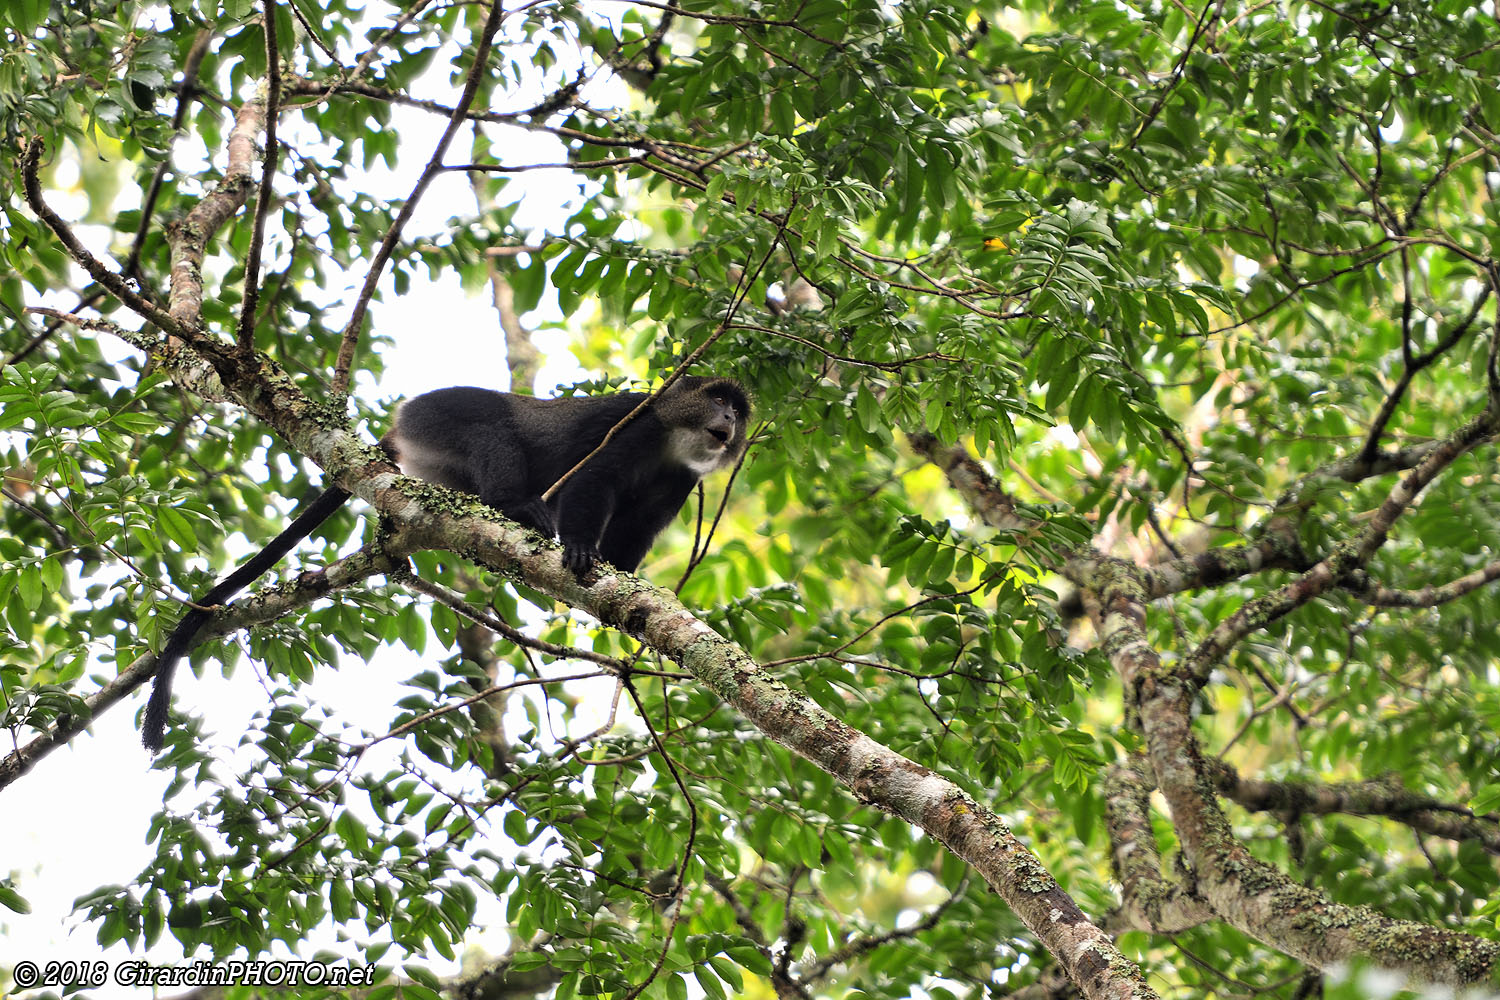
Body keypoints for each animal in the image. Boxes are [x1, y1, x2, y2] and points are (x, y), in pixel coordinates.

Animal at [140, 376, 750, 753]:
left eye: (738, 412)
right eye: (717, 399)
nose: (728, 419)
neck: (671, 443)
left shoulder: (678, 482)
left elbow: (633, 535)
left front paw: (622, 580)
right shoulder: (633, 425)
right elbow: (590, 479)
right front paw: (579, 548)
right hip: (441, 415)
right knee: (492, 430)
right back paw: (516, 506)